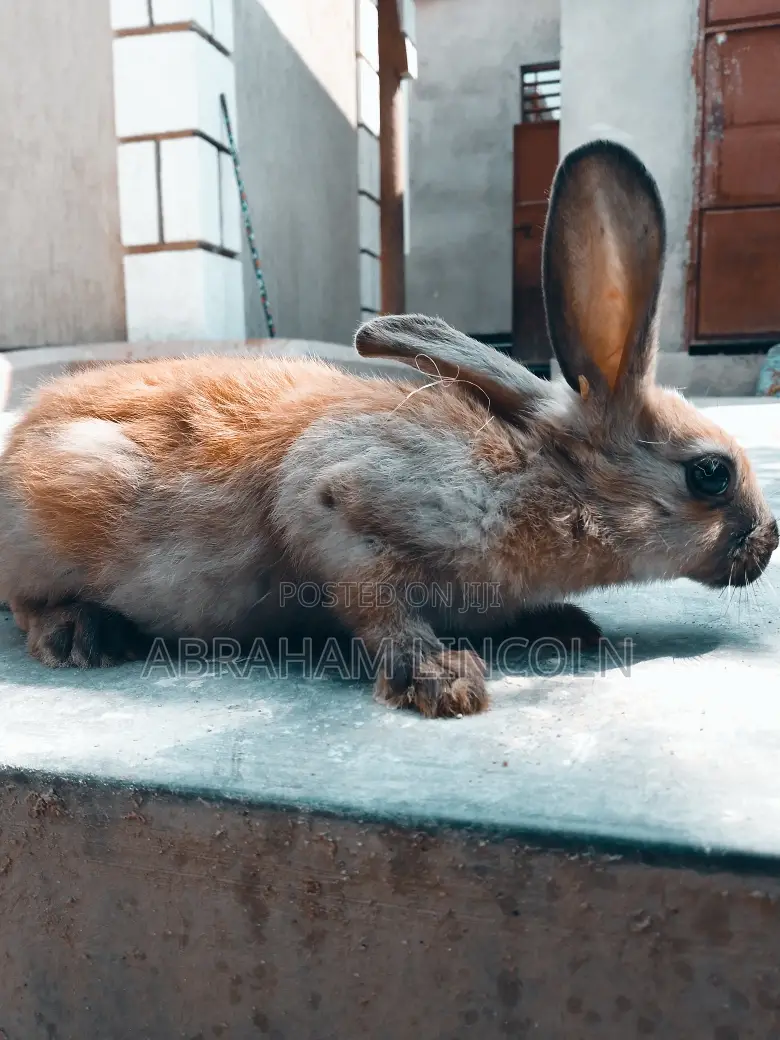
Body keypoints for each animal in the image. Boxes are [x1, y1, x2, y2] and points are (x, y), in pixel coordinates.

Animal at [0, 139, 776, 718]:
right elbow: (376, 603)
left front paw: (564, 625)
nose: (767, 543)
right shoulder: (340, 498)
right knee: (23, 599)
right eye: (711, 473)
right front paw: (442, 680)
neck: (546, 475)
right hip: (60, 506)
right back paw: (82, 635)